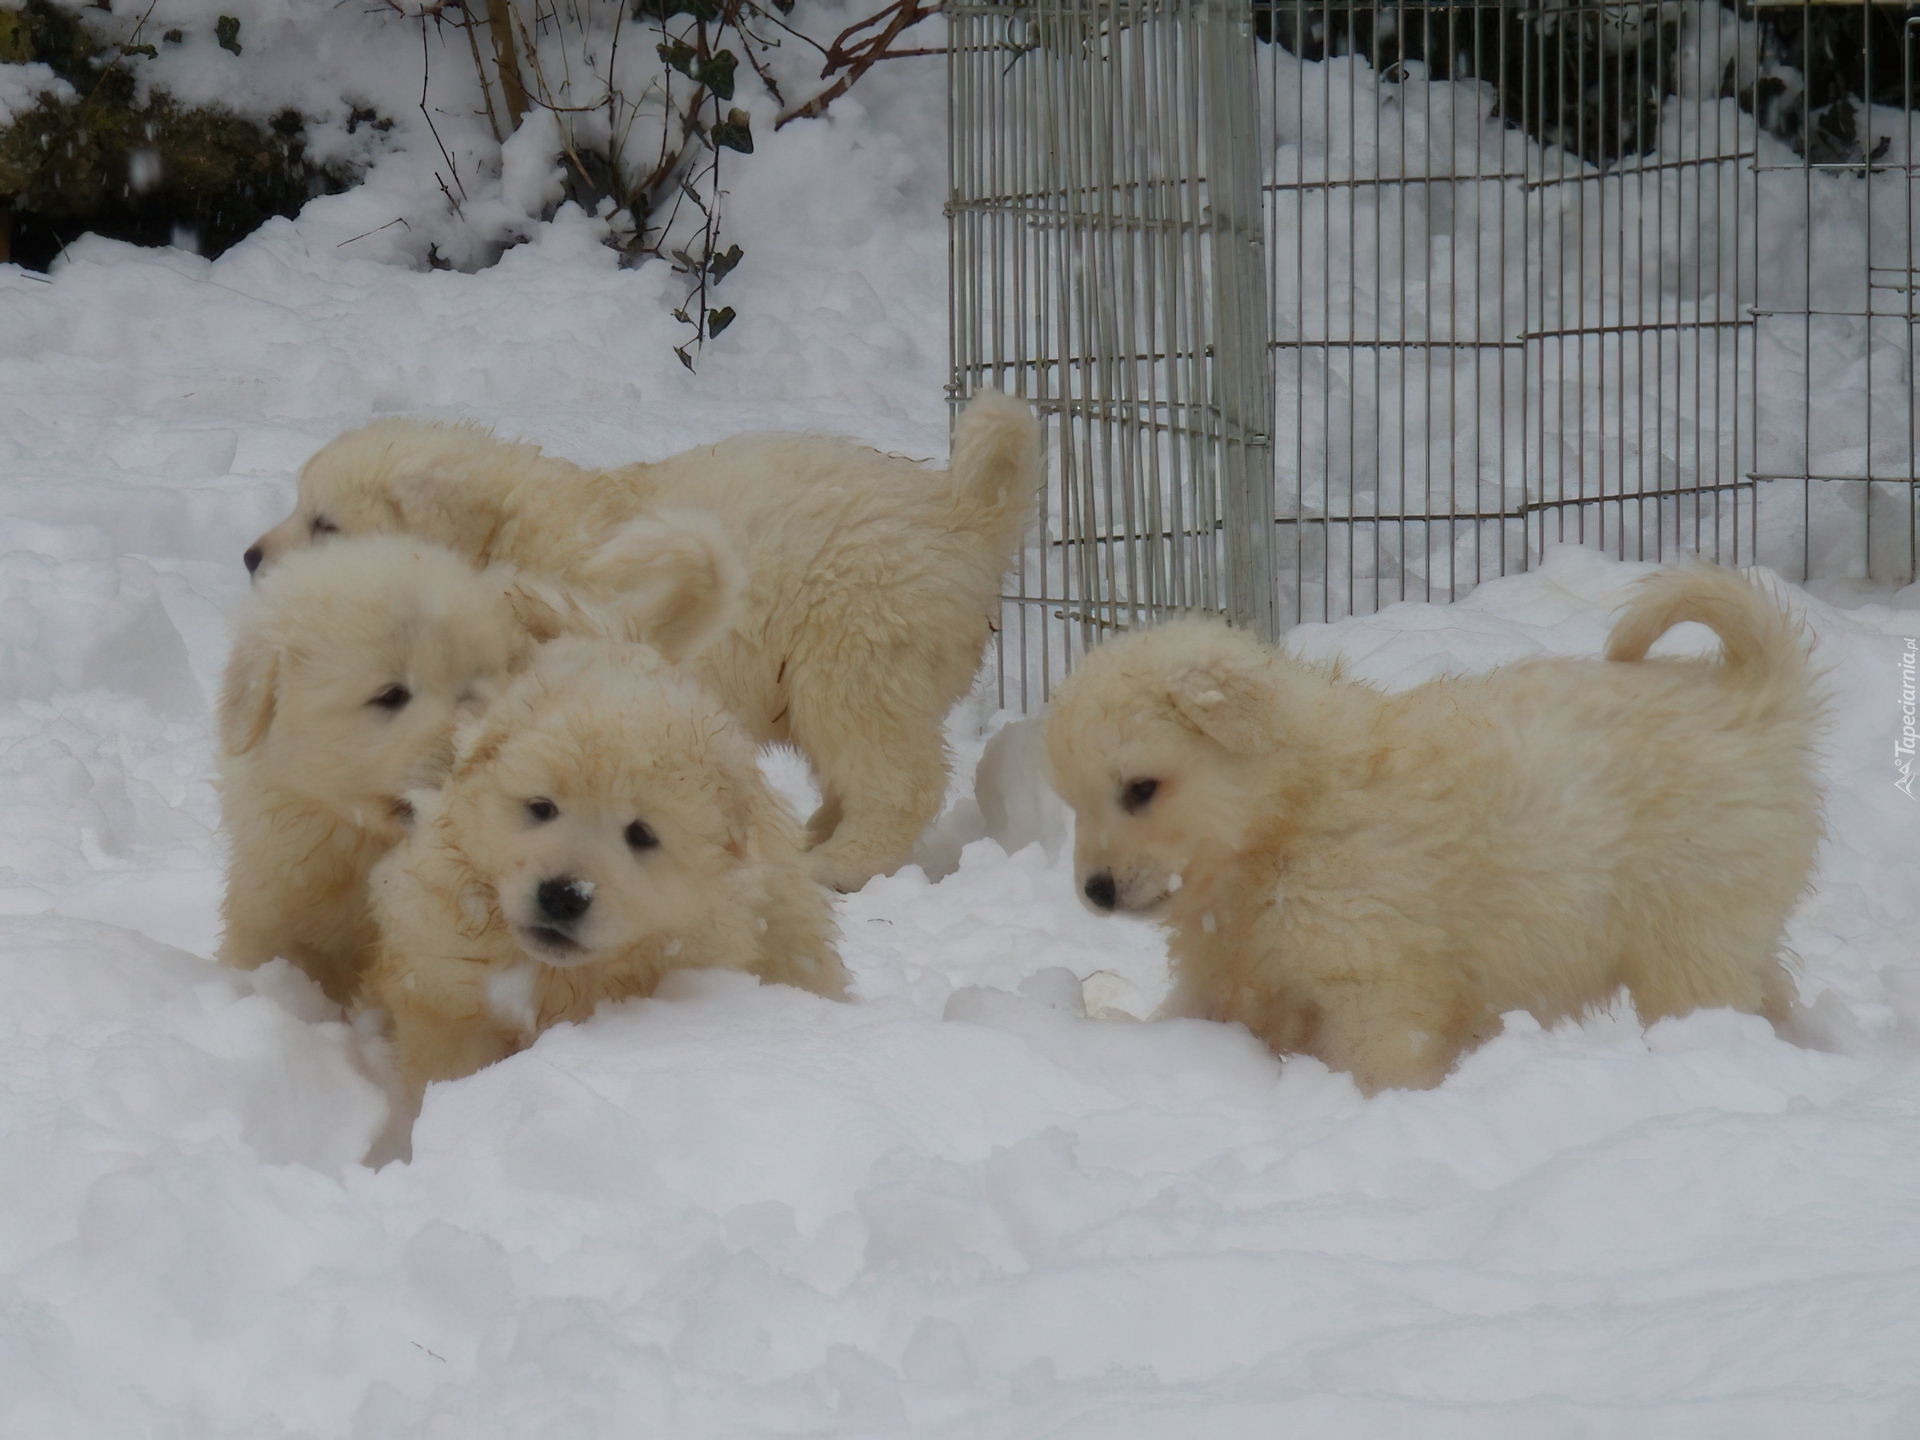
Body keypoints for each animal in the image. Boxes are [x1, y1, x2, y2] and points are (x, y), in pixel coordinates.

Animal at [251, 391, 1052, 890]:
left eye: (326, 524)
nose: (251, 558)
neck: (509, 534)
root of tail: (959, 513)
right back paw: (811, 840)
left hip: (858, 652)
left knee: (895, 779)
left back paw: (835, 864)